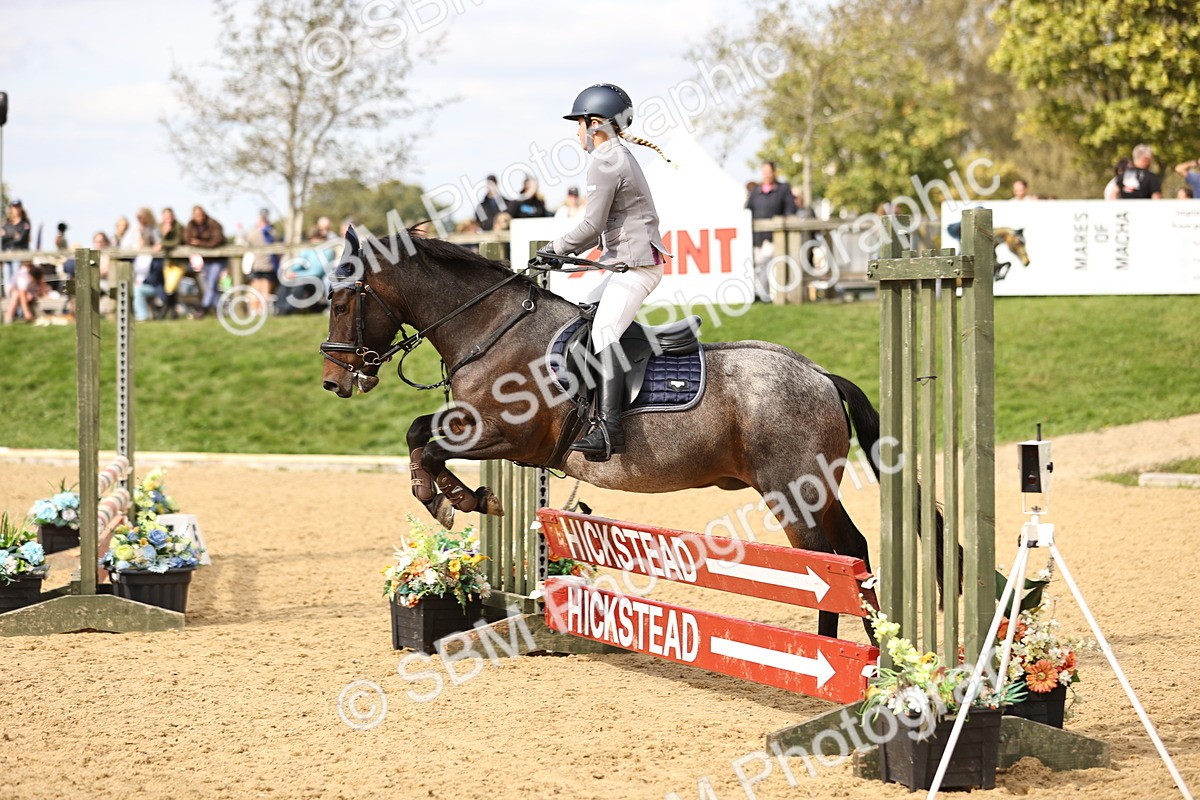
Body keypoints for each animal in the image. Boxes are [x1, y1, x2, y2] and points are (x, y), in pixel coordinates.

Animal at [320, 229, 946, 640]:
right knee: (853, 551)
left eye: (342, 298)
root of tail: (819, 375)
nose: (333, 380)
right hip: (815, 490)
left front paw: (455, 500)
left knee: (830, 560)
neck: (491, 329)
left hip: (795, 491)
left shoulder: (507, 436)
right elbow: (417, 434)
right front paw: (458, 497)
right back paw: (870, 655)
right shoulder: (477, 425)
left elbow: (429, 447)